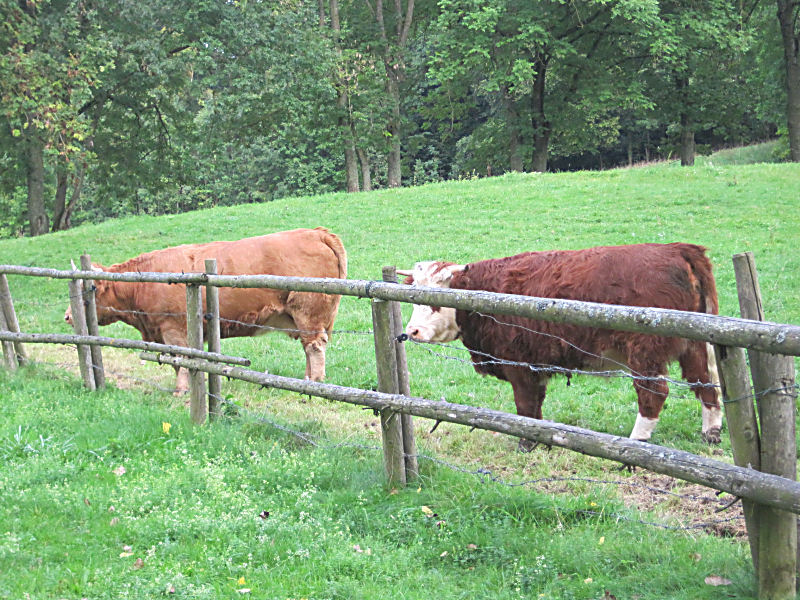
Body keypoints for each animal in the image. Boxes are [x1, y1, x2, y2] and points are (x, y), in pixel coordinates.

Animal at [66, 226, 346, 394]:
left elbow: (180, 360)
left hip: (308, 312)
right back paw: (306, 380)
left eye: (91, 288)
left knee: (314, 346)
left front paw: (181, 390)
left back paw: (314, 382)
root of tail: (316, 232)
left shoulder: (174, 329)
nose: (68, 316)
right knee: (309, 347)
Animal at [404, 243, 720, 446]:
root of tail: (677, 248)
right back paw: (711, 433)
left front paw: (526, 443)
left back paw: (636, 441)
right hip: (695, 347)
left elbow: (525, 404)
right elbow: (536, 406)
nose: (412, 331)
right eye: (413, 296)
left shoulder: (518, 364)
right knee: (706, 385)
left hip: (645, 353)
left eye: (436, 301)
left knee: (654, 393)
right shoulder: (535, 365)